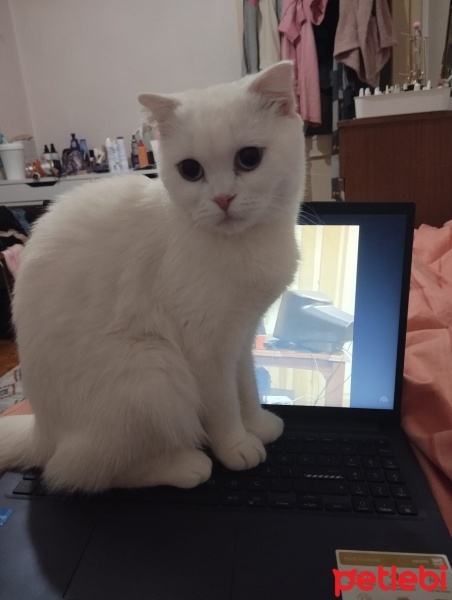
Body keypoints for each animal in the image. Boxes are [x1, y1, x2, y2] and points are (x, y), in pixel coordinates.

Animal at [0, 62, 308, 492]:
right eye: (190, 170)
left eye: (249, 159)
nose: (223, 199)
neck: (246, 244)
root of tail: (41, 430)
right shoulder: (207, 348)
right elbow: (224, 404)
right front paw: (236, 446)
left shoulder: (241, 335)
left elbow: (247, 387)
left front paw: (259, 426)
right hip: (156, 371)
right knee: (79, 471)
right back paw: (186, 465)